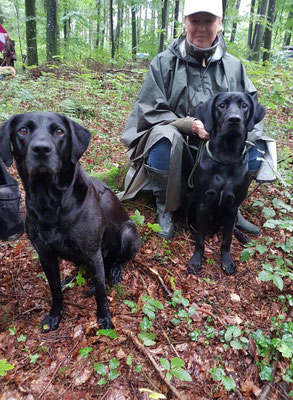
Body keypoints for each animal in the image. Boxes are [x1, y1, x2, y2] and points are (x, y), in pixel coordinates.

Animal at [0, 111, 140, 332]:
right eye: (23, 130)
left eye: (59, 131)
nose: (41, 149)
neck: (49, 202)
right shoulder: (46, 255)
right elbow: (55, 290)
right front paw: (54, 315)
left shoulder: (93, 253)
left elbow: (101, 293)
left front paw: (104, 317)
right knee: (80, 267)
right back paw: (72, 278)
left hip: (128, 231)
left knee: (117, 260)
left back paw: (115, 270)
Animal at [187, 92, 264, 276]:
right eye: (221, 105)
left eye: (244, 105)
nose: (234, 119)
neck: (226, 156)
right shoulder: (203, 203)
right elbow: (200, 239)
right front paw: (195, 260)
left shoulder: (232, 205)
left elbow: (227, 239)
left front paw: (227, 261)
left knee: (233, 228)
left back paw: (242, 236)